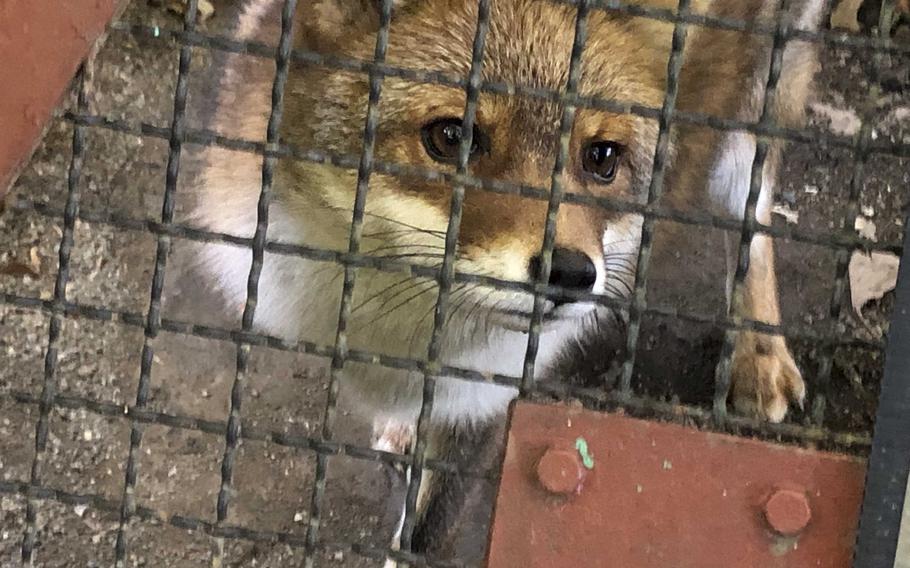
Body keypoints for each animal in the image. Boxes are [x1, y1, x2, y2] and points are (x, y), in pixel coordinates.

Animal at [191, 0, 828, 560]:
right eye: (452, 136)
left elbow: (422, 537)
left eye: (601, 157)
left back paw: (759, 354)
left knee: (753, 215)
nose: (571, 275)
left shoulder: (482, 403)